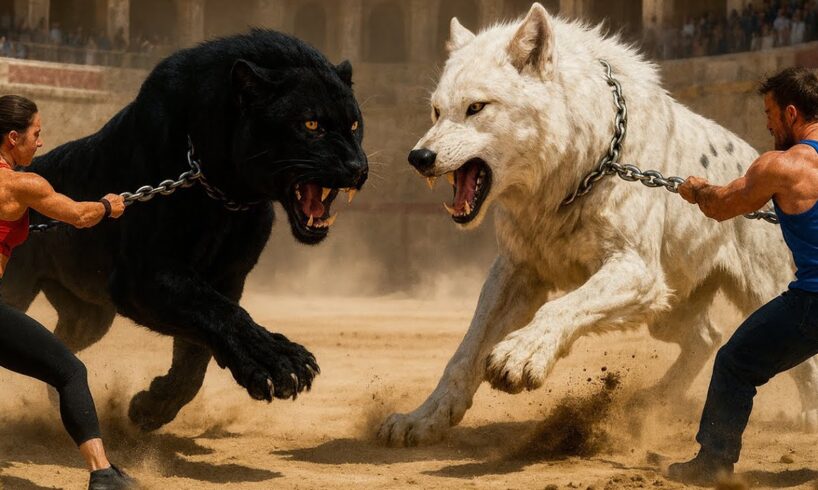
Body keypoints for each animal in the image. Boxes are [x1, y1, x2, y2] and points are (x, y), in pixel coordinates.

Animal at [2, 29, 367, 431]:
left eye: (354, 125)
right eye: (311, 125)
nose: (357, 166)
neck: (227, 191)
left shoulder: (227, 277)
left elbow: (196, 354)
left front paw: (150, 408)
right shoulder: (145, 274)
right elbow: (219, 314)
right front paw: (279, 362)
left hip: (89, 315)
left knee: (62, 342)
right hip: (18, 289)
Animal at [378, 3, 818, 446]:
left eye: (477, 107)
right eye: (436, 111)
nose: (419, 157)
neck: (578, 168)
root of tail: (758, 159)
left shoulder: (636, 269)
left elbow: (562, 307)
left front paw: (521, 356)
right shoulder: (517, 269)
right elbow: (466, 350)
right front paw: (424, 418)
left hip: (762, 294)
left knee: (798, 357)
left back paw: (808, 415)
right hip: (668, 311)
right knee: (708, 336)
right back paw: (654, 402)